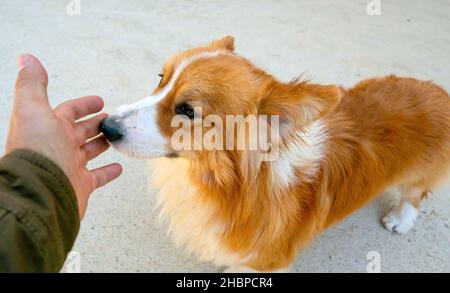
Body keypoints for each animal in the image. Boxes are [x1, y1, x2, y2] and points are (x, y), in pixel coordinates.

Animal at [101, 36, 450, 272]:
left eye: (186, 110)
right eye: (161, 79)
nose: (105, 127)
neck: (224, 186)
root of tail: (439, 92)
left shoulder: (266, 262)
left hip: (419, 176)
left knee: (417, 193)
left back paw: (400, 219)